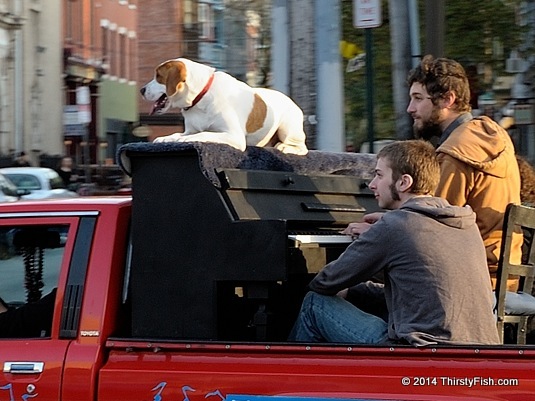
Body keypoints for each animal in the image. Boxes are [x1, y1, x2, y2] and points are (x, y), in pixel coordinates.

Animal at [140, 57, 308, 155]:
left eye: (158, 76)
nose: (141, 90)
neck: (201, 96)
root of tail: (291, 101)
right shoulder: (189, 130)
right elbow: (178, 134)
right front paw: (167, 138)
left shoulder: (234, 135)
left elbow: (204, 134)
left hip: (288, 128)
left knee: (301, 148)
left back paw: (285, 147)